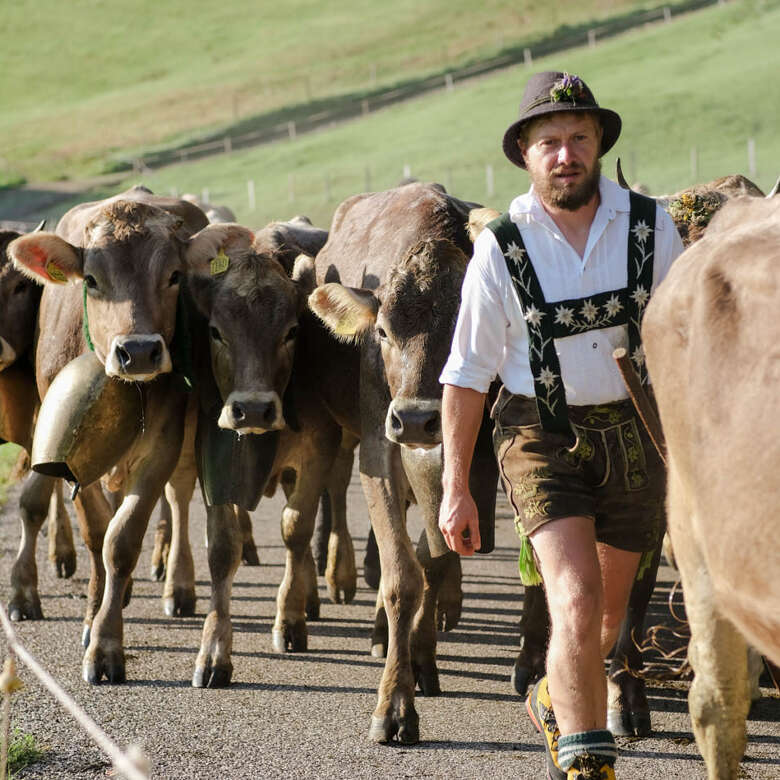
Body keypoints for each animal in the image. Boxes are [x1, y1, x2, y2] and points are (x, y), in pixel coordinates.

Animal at [306, 181, 496, 744]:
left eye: (463, 328)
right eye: (384, 333)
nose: (414, 419)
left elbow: (433, 559)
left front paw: (423, 655)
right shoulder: (377, 448)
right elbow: (401, 577)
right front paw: (393, 702)